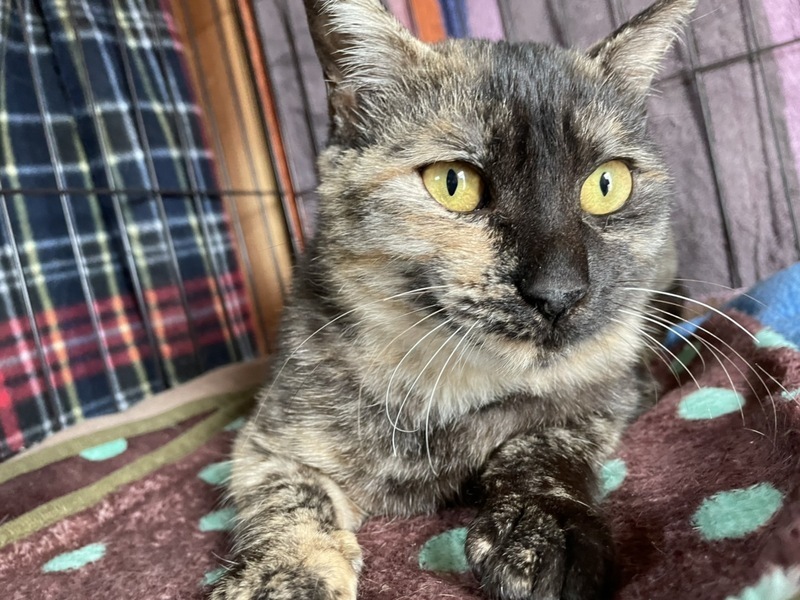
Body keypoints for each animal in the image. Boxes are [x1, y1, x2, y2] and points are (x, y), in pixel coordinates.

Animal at [210, 0, 694, 598]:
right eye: (452, 182)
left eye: (607, 184)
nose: (559, 291)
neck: (451, 385)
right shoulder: (269, 440)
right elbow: (289, 499)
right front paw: (284, 574)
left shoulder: (612, 395)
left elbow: (543, 443)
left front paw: (545, 530)